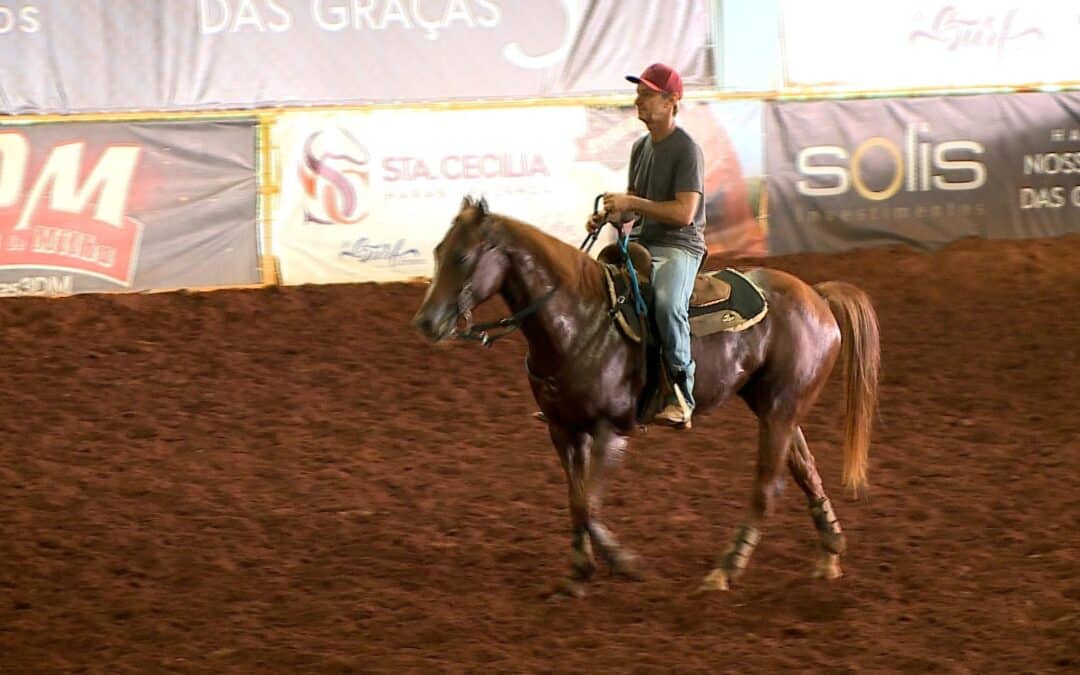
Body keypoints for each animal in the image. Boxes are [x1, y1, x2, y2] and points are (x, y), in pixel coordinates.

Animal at [410, 196, 876, 596]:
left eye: (462, 257)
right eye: (438, 251)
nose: (426, 322)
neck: (578, 319)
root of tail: (818, 295)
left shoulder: (611, 431)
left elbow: (588, 504)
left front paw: (622, 562)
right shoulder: (563, 430)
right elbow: (576, 500)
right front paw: (580, 571)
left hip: (780, 408)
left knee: (766, 487)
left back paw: (724, 570)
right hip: (774, 405)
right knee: (804, 470)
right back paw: (830, 551)